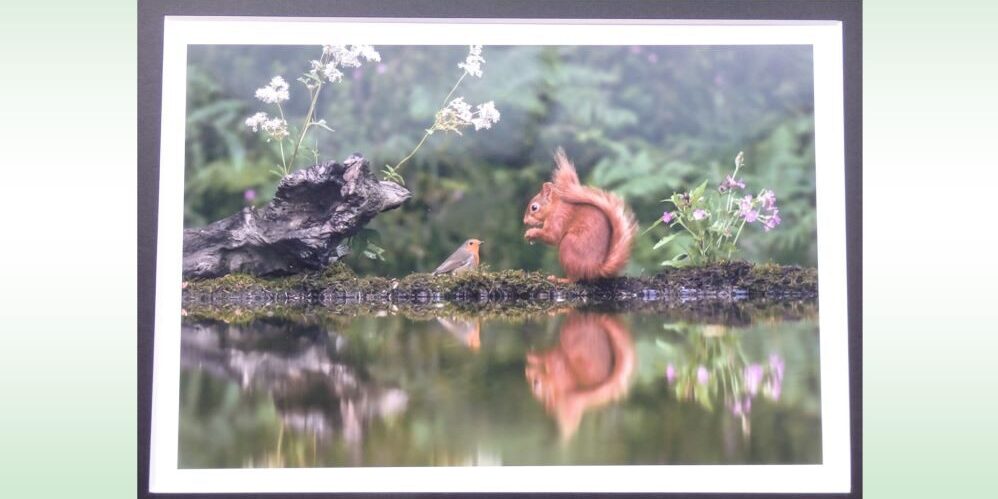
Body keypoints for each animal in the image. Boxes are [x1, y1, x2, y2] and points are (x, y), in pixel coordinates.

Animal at [523, 149, 638, 282]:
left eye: (534, 207)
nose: (525, 221)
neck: (555, 207)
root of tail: (594, 269)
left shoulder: (558, 218)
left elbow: (552, 236)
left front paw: (531, 233)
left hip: (568, 246)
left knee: (574, 278)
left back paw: (560, 279)